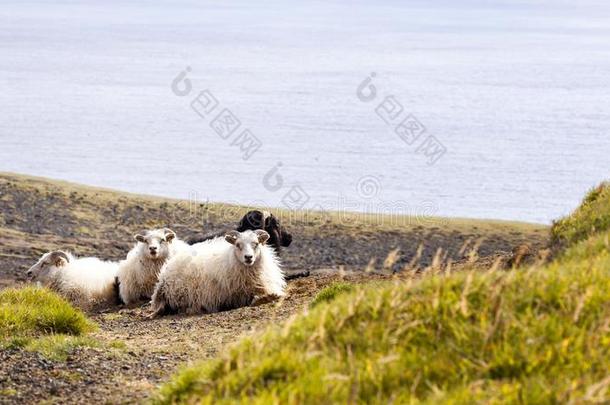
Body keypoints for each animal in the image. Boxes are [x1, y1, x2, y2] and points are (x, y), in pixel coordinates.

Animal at [151, 229, 286, 318]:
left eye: (256, 244)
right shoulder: (237, 295)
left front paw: (272, 295)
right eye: (238, 245)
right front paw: (266, 298)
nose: (248, 257)